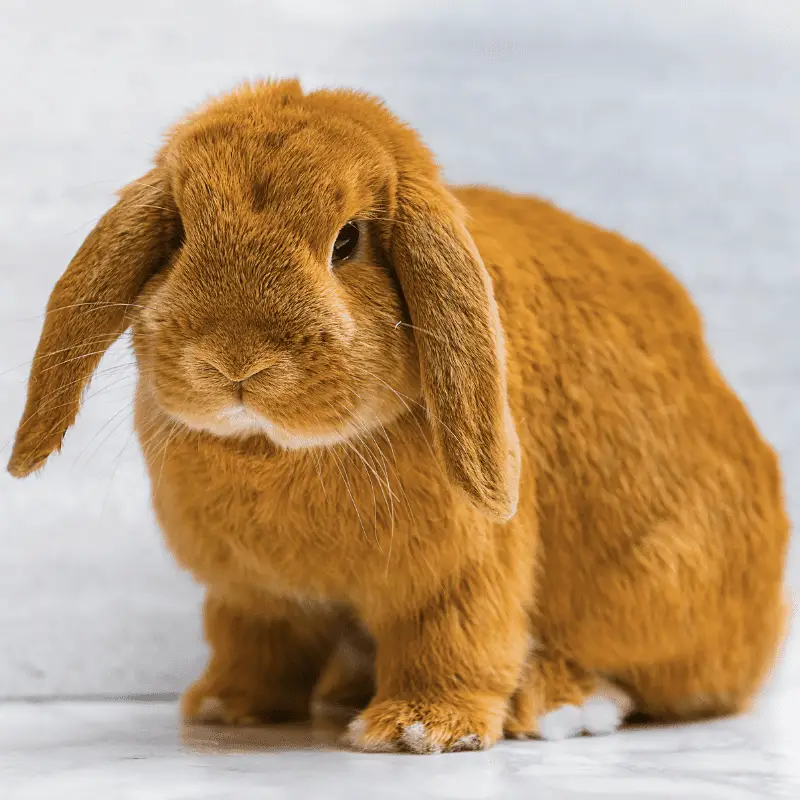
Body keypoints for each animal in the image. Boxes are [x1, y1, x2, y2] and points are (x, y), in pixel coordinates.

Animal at [9, 78, 792, 752]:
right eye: (178, 234)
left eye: (348, 240)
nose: (235, 362)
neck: (279, 451)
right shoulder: (252, 596)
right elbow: (253, 644)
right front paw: (228, 707)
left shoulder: (463, 571)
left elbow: (453, 639)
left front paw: (422, 729)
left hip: (662, 580)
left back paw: (557, 703)